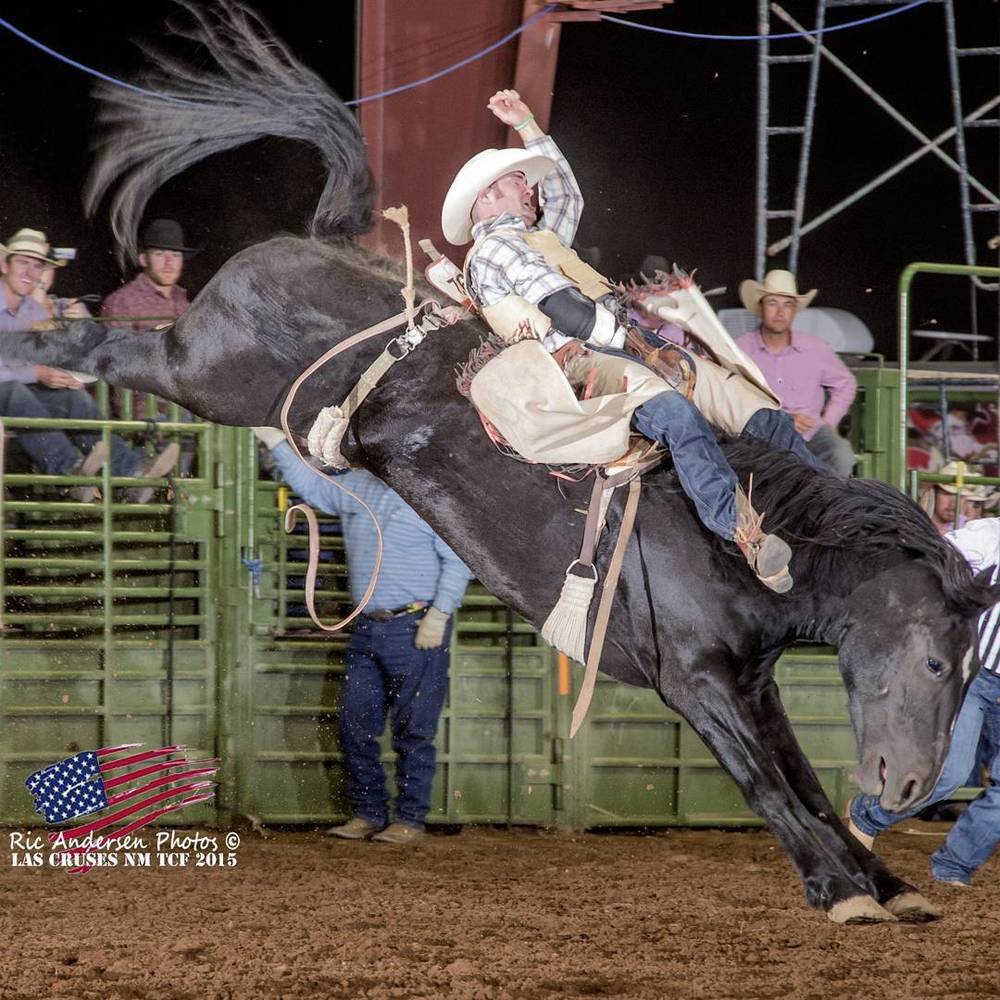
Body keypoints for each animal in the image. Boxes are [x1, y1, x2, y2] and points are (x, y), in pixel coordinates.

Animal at [7, 1, 1000, 920]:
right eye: (935, 664)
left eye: (965, 666)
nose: (913, 789)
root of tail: (321, 237)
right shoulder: (695, 681)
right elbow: (768, 787)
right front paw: (841, 889)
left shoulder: (754, 684)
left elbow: (802, 782)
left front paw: (883, 881)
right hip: (200, 369)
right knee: (104, 348)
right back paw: (36, 344)